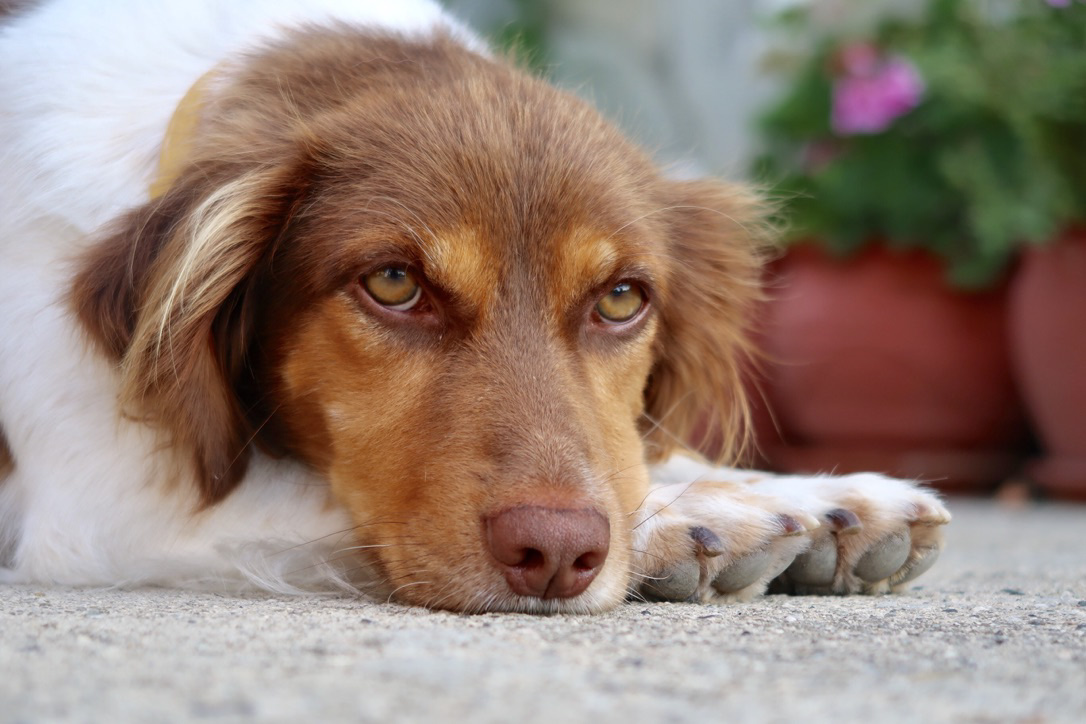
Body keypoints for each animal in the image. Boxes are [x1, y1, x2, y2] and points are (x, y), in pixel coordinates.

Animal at [0, 0, 951, 616]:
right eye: (393, 284)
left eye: (621, 298)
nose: (558, 553)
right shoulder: (99, 509)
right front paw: (703, 516)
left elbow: (638, 455)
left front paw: (822, 497)